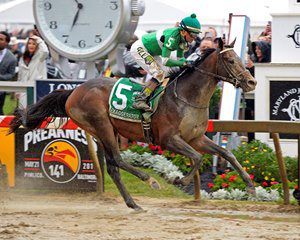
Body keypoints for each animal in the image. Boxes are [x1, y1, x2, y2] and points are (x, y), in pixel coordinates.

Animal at [10, 40, 256, 210]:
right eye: (231, 61)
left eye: (241, 58)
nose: (251, 81)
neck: (187, 97)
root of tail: (74, 91)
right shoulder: (168, 139)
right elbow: (196, 158)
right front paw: (179, 179)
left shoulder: (196, 138)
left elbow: (226, 154)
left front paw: (251, 187)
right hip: (102, 126)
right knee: (118, 161)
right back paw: (150, 180)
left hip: (102, 131)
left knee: (112, 167)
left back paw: (133, 203)